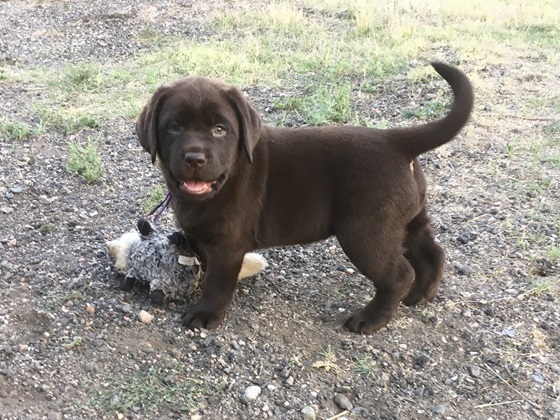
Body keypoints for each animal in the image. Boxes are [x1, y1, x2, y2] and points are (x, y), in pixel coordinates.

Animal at [136, 62, 472, 334]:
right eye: (174, 127)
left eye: (220, 129)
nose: (194, 158)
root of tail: (396, 141)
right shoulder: (204, 237)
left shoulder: (228, 246)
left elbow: (218, 281)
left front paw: (206, 313)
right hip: (406, 218)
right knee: (431, 252)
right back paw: (421, 295)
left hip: (365, 233)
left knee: (399, 274)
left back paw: (371, 319)